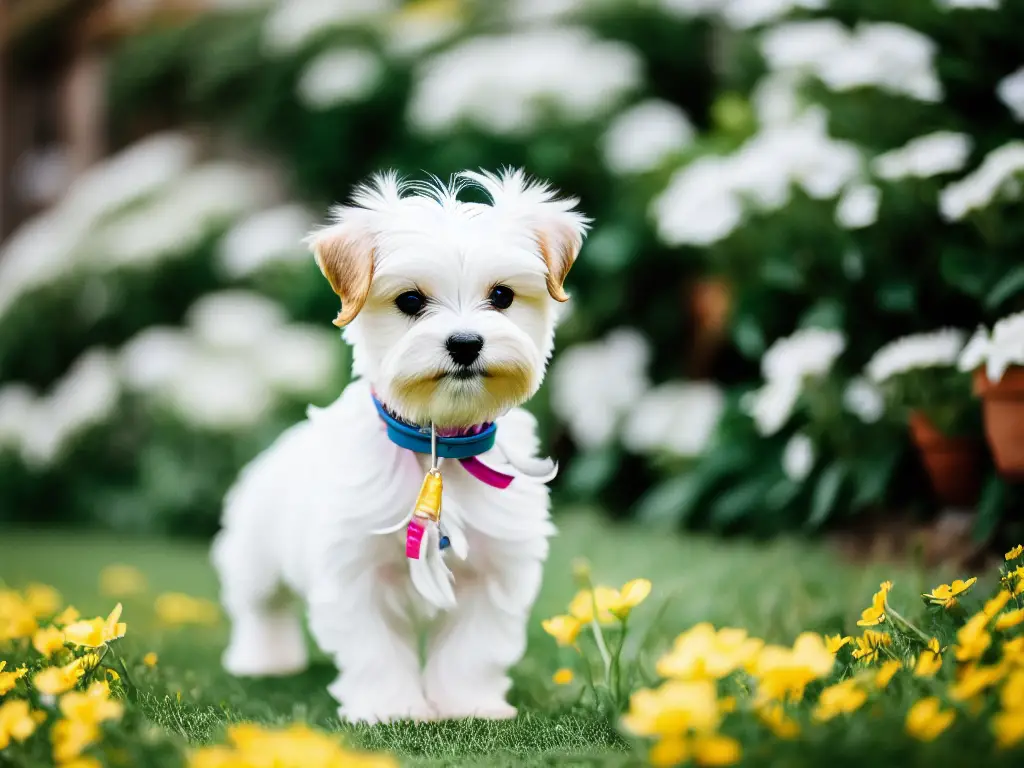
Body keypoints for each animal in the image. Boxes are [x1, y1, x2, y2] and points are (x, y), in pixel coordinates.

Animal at [211, 169, 589, 729]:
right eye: (410, 301)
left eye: (502, 296)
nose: (465, 343)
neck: (439, 444)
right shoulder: (353, 569)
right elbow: (375, 649)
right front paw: (391, 709)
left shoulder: (495, 569)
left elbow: (474, 649)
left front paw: (468, 704)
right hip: (255, 552)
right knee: (260, 606)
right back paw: (263, 659)